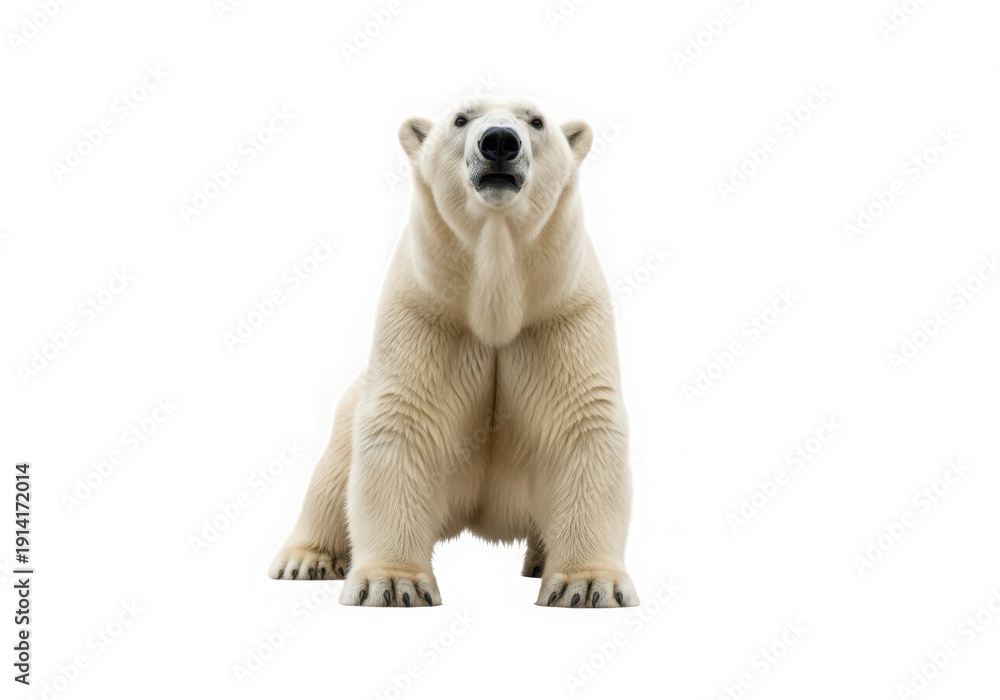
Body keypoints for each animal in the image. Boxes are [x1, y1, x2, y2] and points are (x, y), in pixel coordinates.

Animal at [268, 95, 638, 608]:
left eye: (536, 121)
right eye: (462, 118)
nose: (499, 141)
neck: (494, 300)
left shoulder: (560, 315)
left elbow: (581, 423)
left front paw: (586, 585)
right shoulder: (429, 313)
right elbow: (402, 423)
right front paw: (393, 583)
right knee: (333, 471)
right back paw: (307, 560)